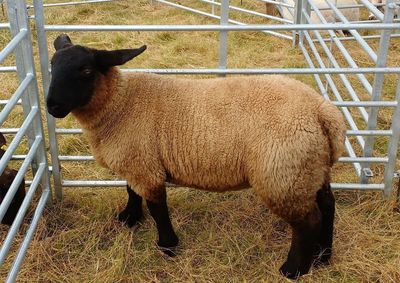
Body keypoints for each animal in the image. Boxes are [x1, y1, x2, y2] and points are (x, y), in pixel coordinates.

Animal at [47, 35, 346, 280]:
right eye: (51, 66)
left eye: (86, 70)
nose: (52, 106)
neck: (121, 104)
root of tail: (322, 111)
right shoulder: (137, 161)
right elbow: (131, 191)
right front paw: (129, 219)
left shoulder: (146, 166)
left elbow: (157, 208)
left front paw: (167, 245)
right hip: (310, 169)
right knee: (328, 206)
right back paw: (323, 256)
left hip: (282, 175)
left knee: (308, 221)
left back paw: (294, 269)